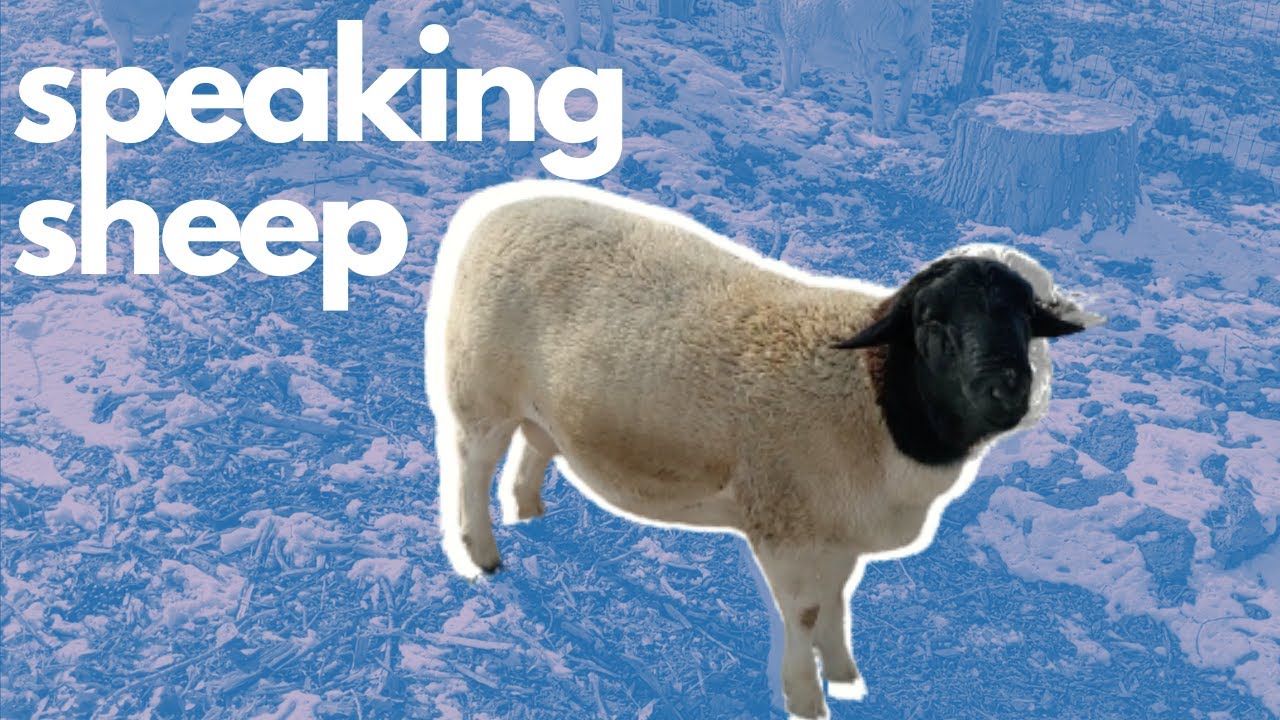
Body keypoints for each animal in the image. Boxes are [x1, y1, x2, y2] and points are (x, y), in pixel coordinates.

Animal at [424, 180, 1102, 718]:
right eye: (933, 323)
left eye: (1027, 319)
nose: (1008, 390)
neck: (875, 396)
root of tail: (502, 209)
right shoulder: (789, 526)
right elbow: (803, 614)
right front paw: (806, 698)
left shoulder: (837, 529)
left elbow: (837, 602)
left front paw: (844, 674)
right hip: (480, 391)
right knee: (471, 469)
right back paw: (483, 554)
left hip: (541, 403)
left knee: (536, 444)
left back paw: (530, 511)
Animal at [760, 0, 933, 132]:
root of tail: (908, 5)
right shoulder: (798, 30)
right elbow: (797, 57)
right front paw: (796, 86)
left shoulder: (778, 23)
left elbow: (786, 57)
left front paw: (784, 89)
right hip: (914, 40)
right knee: (908, 76)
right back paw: (900, 121)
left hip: (867, 42)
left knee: (877, 81)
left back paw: (878, 127)